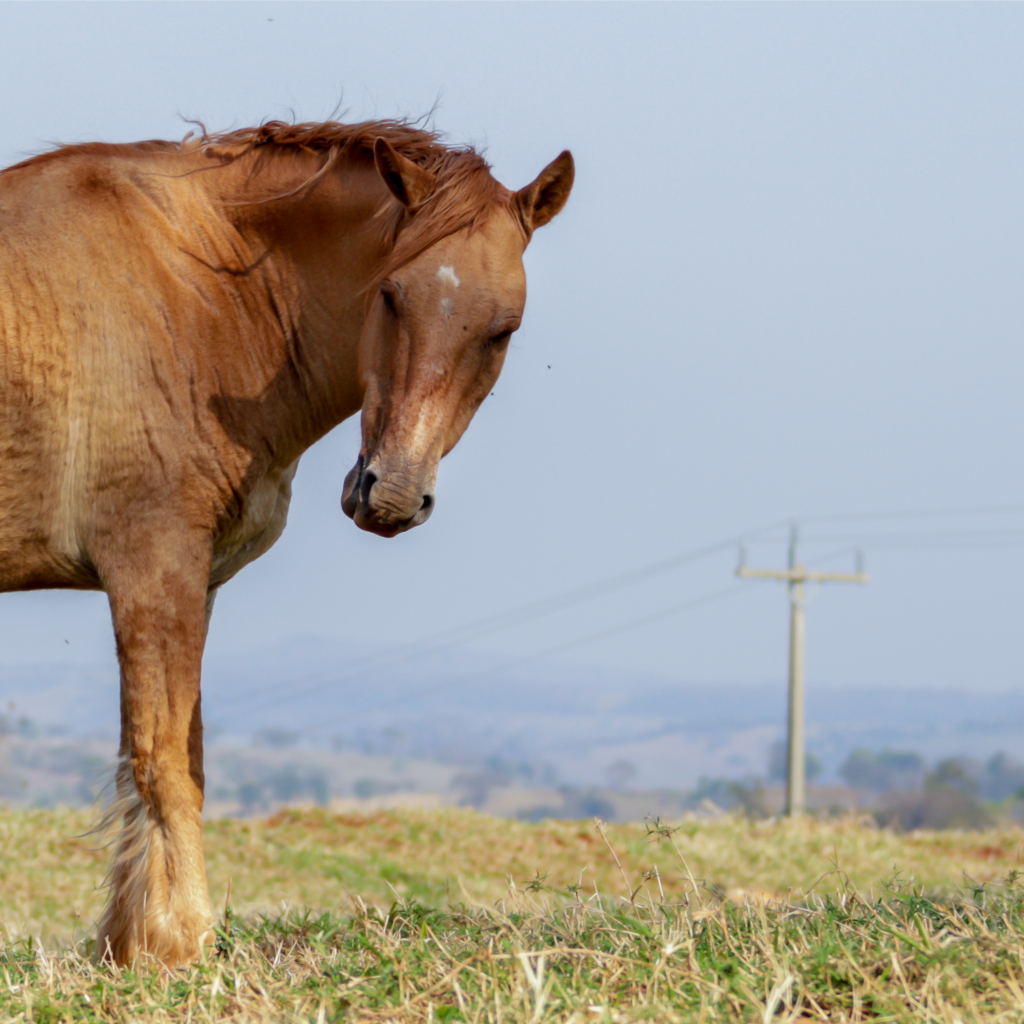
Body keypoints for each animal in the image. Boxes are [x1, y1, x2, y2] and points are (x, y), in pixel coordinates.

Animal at [0, 117, 577, 958]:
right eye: (391, 295)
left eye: (502, 332)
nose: (391, 495)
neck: (197, 295)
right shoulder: (151, 568)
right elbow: (160, 758)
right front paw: (182, 941)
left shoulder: (193, 580)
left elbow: (182, 756)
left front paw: (134, 942)